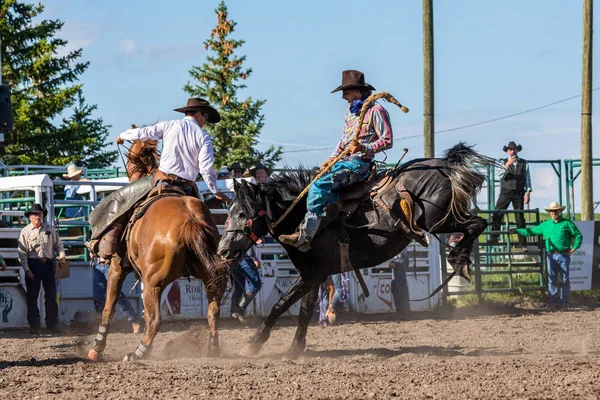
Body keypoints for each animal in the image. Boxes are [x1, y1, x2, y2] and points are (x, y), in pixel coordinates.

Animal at [88, 140, 229, 362]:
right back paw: (213, 349)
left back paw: (138, 352)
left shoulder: (117, 267)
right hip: (210, 276)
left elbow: (108, 307)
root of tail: (190, 220)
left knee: (155, 319)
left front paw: (96, 348)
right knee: (213, 312)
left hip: (152, 282)